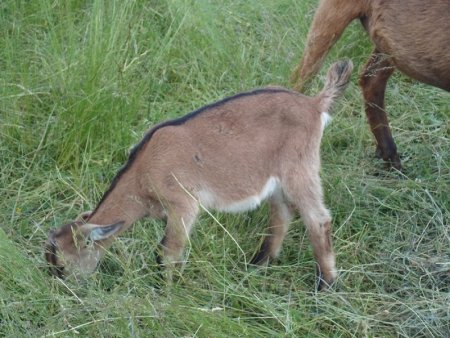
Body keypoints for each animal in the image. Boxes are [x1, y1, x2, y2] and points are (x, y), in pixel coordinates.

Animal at [46, 59, 356, 290]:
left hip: (300, 168)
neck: (143, 172)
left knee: (317, 219)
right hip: (277, 180)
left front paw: (165, 289)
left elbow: (168, 252)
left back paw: (325, 285)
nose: (58, 287)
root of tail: (314, 104)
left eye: (60, 263)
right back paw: (257, 265)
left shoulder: (183, 204)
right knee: (281, 217)